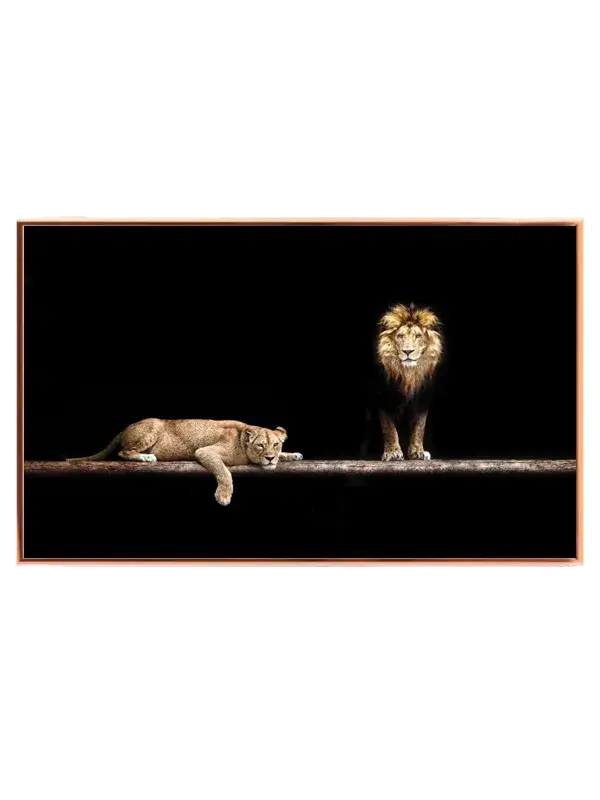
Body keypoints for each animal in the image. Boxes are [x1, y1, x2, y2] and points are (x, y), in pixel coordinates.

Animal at [67, 419, 303, 506]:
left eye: (276, 445)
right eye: (261, 446)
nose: (270, 458)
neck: (243, 441)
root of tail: (126, 427)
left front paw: (292, 455)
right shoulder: (205, 452)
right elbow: (225, 473)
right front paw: (223, 497)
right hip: (153, 427)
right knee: (123, 452)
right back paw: (147, 457)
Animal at [373, 303, 444, 461]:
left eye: (418, 336)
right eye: (400, 336)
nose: (407, 351)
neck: (408, 374)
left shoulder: (423, 399)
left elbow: (419, 427)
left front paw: (418, 452)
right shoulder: (383, 398)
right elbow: (388, 427)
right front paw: (392, 452)